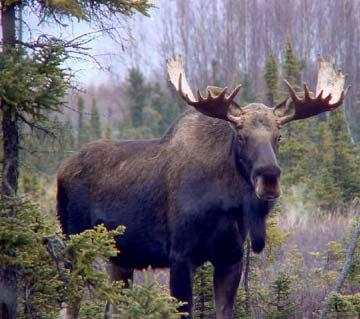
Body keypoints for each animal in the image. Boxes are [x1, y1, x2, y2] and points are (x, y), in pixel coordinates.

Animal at [57, 57, 348, 319]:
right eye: (240, 135)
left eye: (279, 136)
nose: (269, 177)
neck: (228, 205)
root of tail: (62, 171)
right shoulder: (180, 256)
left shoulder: (230, 257)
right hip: (75, 247)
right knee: (68, 307)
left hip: (120, 258)